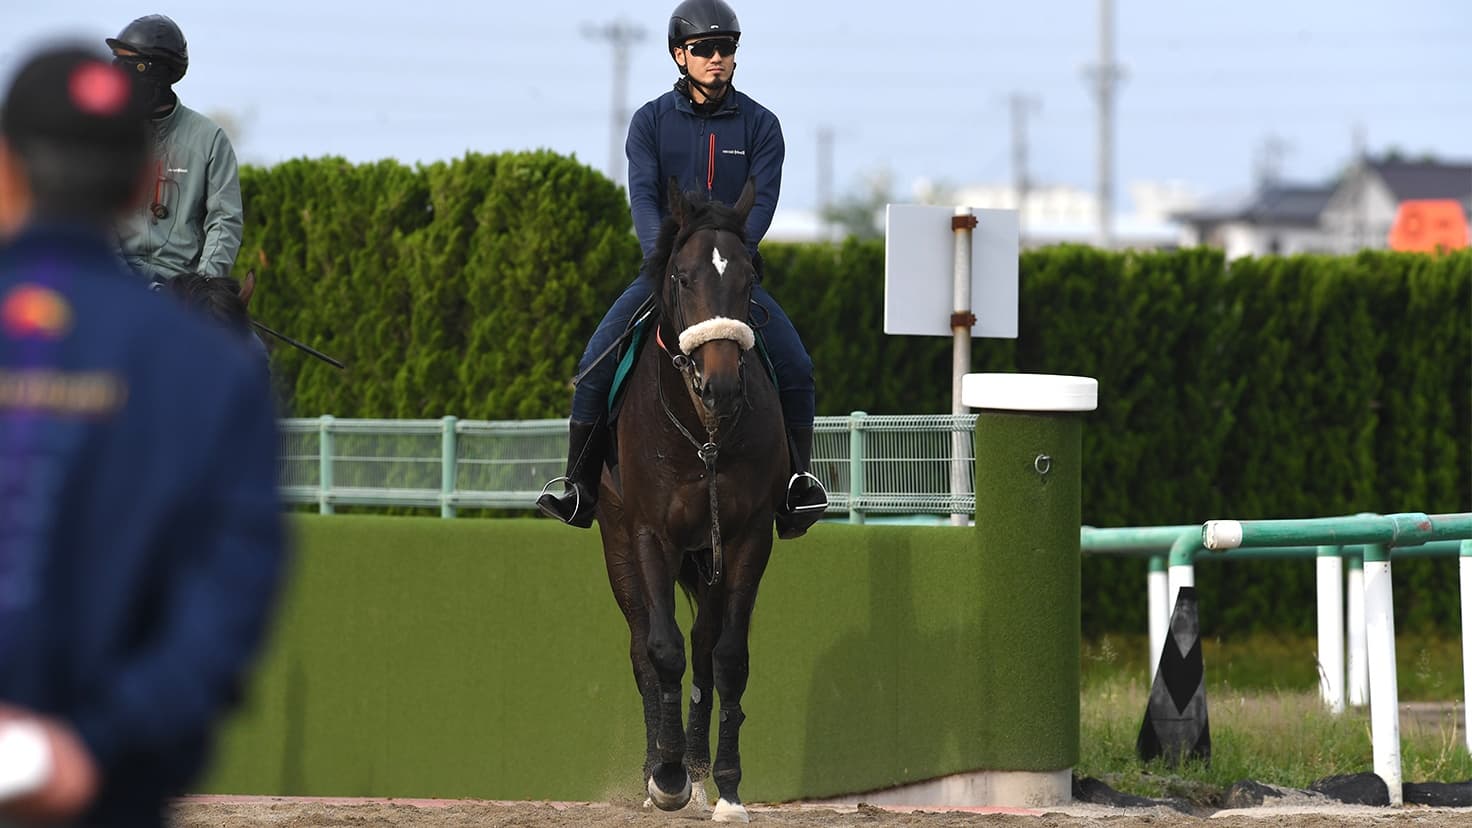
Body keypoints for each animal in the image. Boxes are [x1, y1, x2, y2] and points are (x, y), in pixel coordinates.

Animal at [597, 178, 788, 823]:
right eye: (682, 277)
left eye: (749, 278)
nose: (722, 384)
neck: (703, 433)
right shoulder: (650, 535)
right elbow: (662, 651)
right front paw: (668, 776)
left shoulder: (748, 536)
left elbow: (728, 658)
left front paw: (725, 785)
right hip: (619, 545)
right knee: (641, 648)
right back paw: (661, 767)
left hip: (708, 561)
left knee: (705, 648)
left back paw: (701, 769)